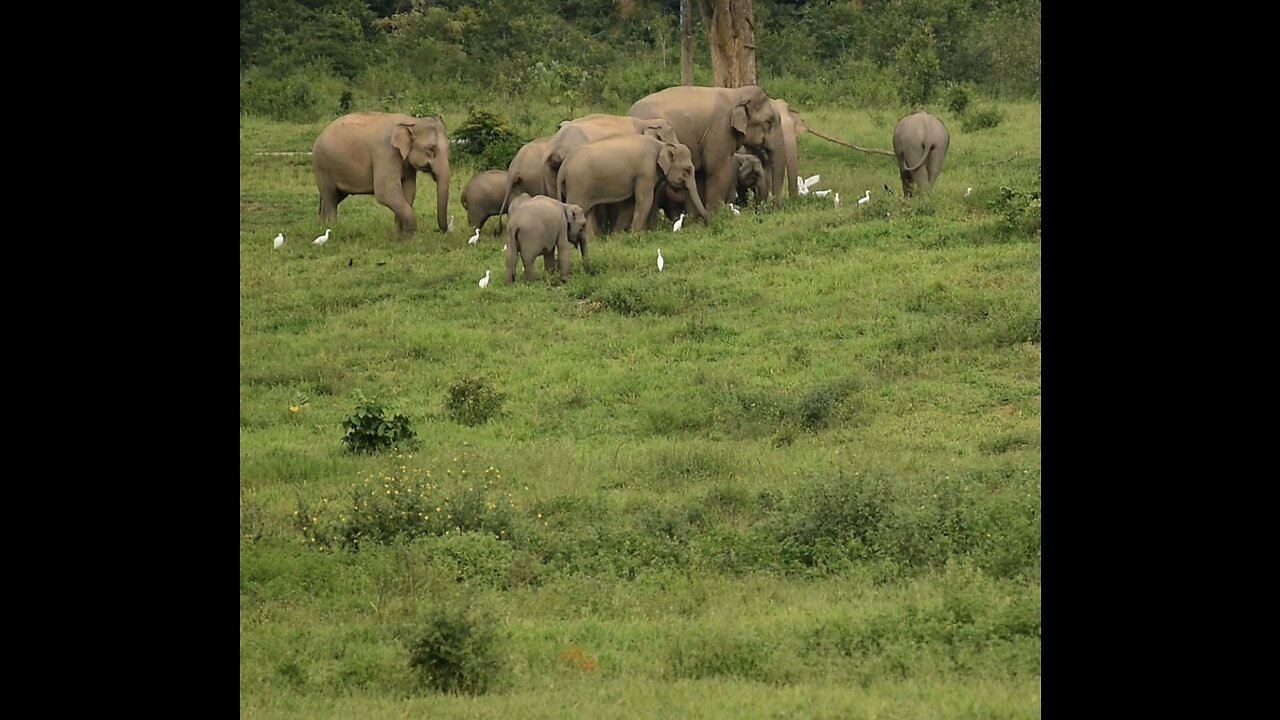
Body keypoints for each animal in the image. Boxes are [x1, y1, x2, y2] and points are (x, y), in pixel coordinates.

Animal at [309, 110, 450, 235]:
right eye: (431, 149)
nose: (439, 230)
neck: (411, 121)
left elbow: (409, 191)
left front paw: (399, 237)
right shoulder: (386, 152)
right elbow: (385, 192)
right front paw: (409, 237)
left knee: (334, 197)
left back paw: (320, 226)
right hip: (322, 166)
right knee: (330, 196)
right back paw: (332, 229)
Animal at [555, 131, 706, 238]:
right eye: (688, 169)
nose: (707, 223)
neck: (661, 145)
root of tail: (563, 166)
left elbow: (630, 203)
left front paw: (618, 236)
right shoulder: (645, 172)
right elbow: (644, 200)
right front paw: (636, 234)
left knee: (588, 212)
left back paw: (593, 240)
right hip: (578, 185)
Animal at [624, 85, 783, 211]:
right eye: (768, 123)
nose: (772, 209)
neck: (736, 94)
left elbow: (700, 176)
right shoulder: (719, 132)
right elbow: (718, 172)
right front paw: (715, 218)